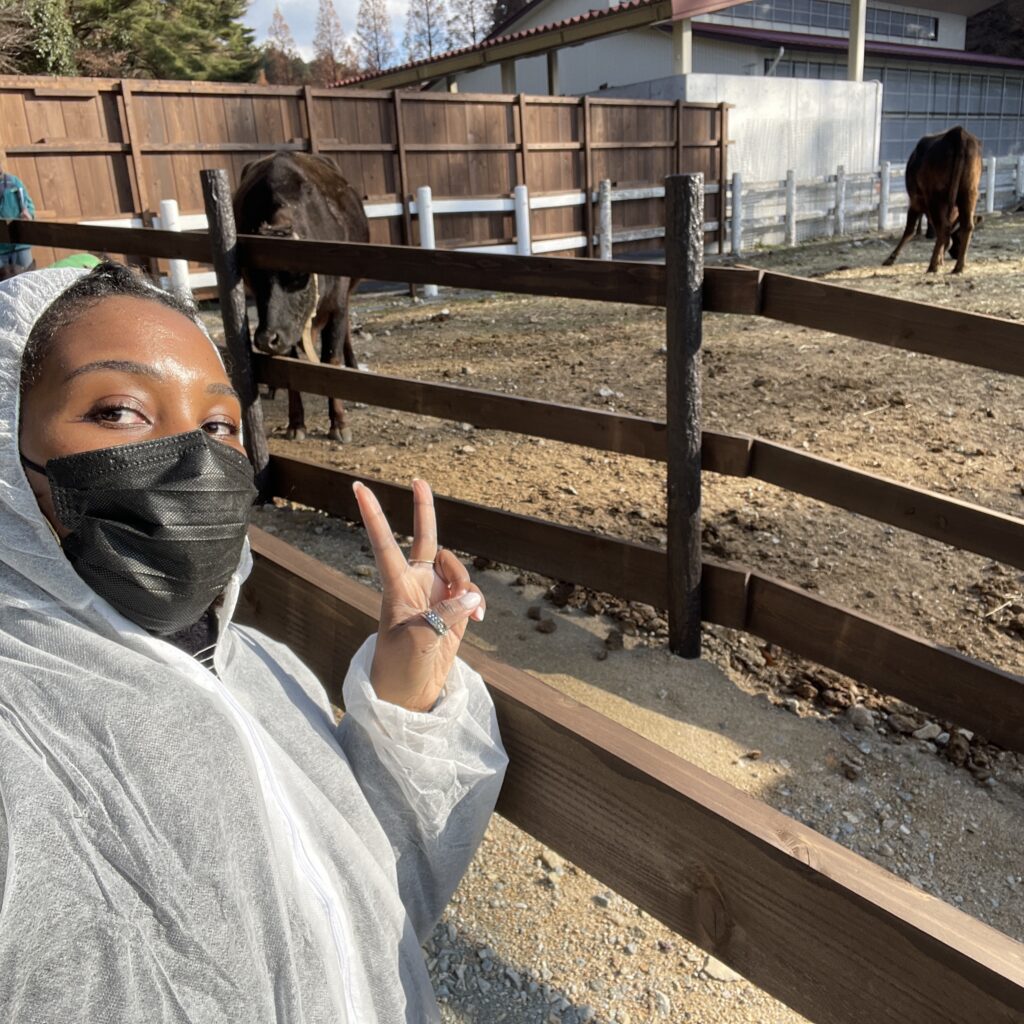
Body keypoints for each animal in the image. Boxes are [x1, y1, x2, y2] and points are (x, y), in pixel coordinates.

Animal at [234, 153, 370, 442]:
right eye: (255, 277)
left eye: (296, 275)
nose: (266, 339)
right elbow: (292, 368)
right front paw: (296, 422)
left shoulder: (337, 306)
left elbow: (332, 359)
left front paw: (339, 422)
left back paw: (353, 366)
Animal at [884, 125, 978, 274]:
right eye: (957, 237)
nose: (955, 254)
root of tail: (958, 133)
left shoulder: (916, 201)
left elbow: (909, 230)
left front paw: (891, 258)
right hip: (969, 193)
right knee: (966, 226)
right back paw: (958, 266)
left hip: (936, 199)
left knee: (943, 227)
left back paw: (933, 265)